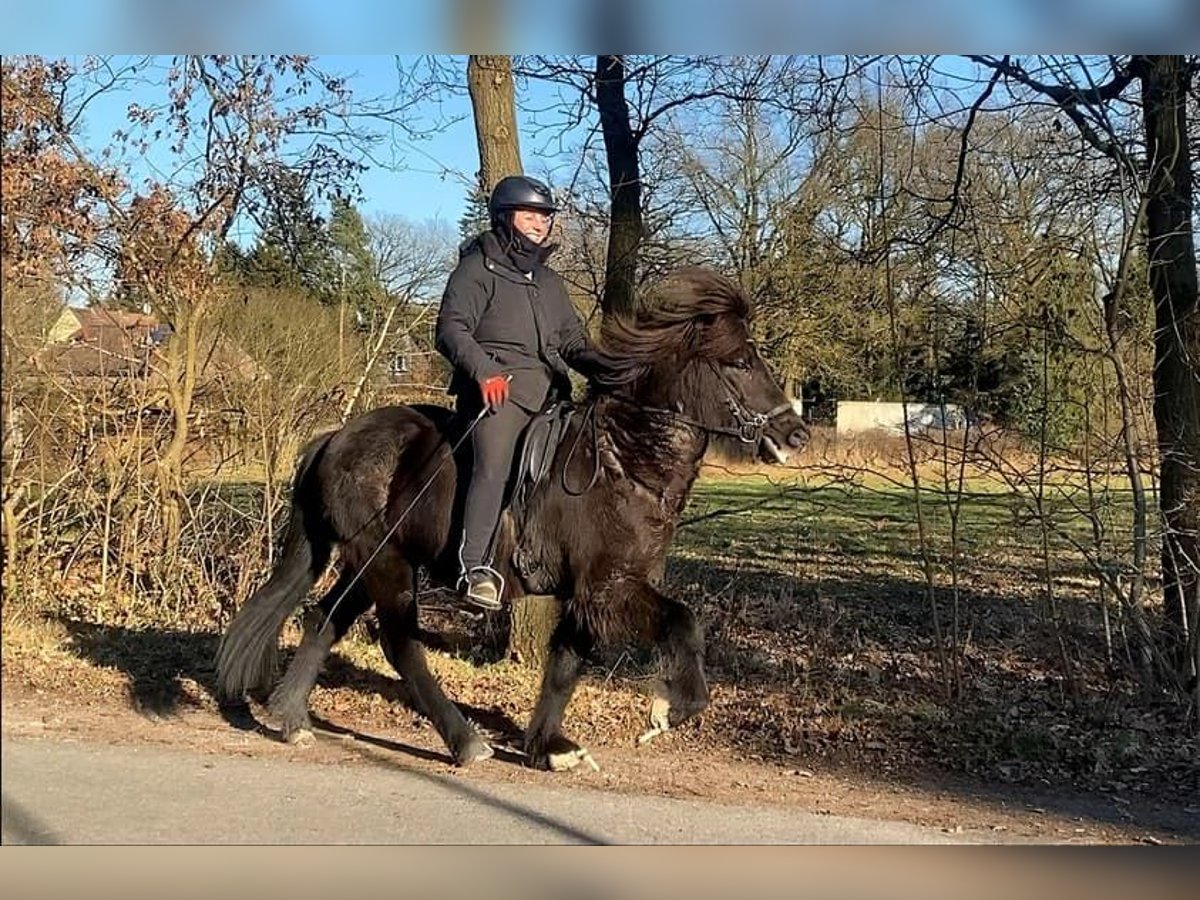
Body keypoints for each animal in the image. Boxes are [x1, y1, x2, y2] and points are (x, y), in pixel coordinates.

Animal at [220, 264, 811, 772]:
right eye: (740, 362)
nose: (796, 436)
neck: (624, 459)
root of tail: (336, 437)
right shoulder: (609, 587)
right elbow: (682, 622)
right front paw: (668, 709)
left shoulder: (585, 593)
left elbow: (565, 666)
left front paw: (549, 747)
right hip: (388, 564)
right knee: (400, 644)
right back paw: (464, 741)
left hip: (369, 563)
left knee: (325, 620)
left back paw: (292, 718)